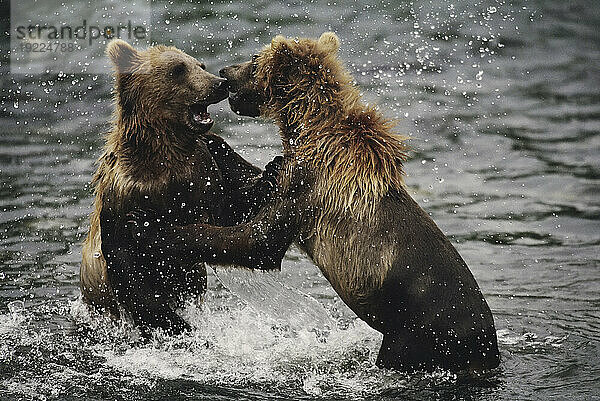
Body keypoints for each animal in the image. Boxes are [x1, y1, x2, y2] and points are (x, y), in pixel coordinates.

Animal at [79, 39, 282, 334]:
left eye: (200, 65)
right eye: (177, 69)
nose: (219, 83)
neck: (167, 154)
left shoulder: (207, 165)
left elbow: (229, 208)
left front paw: (272, 171)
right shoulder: (122, 197)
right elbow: (131, 272)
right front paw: (180, 326)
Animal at [127, 32, 502, 370]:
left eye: (254, 60)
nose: (225, 71)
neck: (307, 131)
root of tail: (488, 343)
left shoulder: (308, 190)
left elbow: (257, 240)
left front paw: (149, 227)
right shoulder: (292, 174)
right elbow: (257, 187)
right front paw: (216, 142)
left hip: (419, 330)